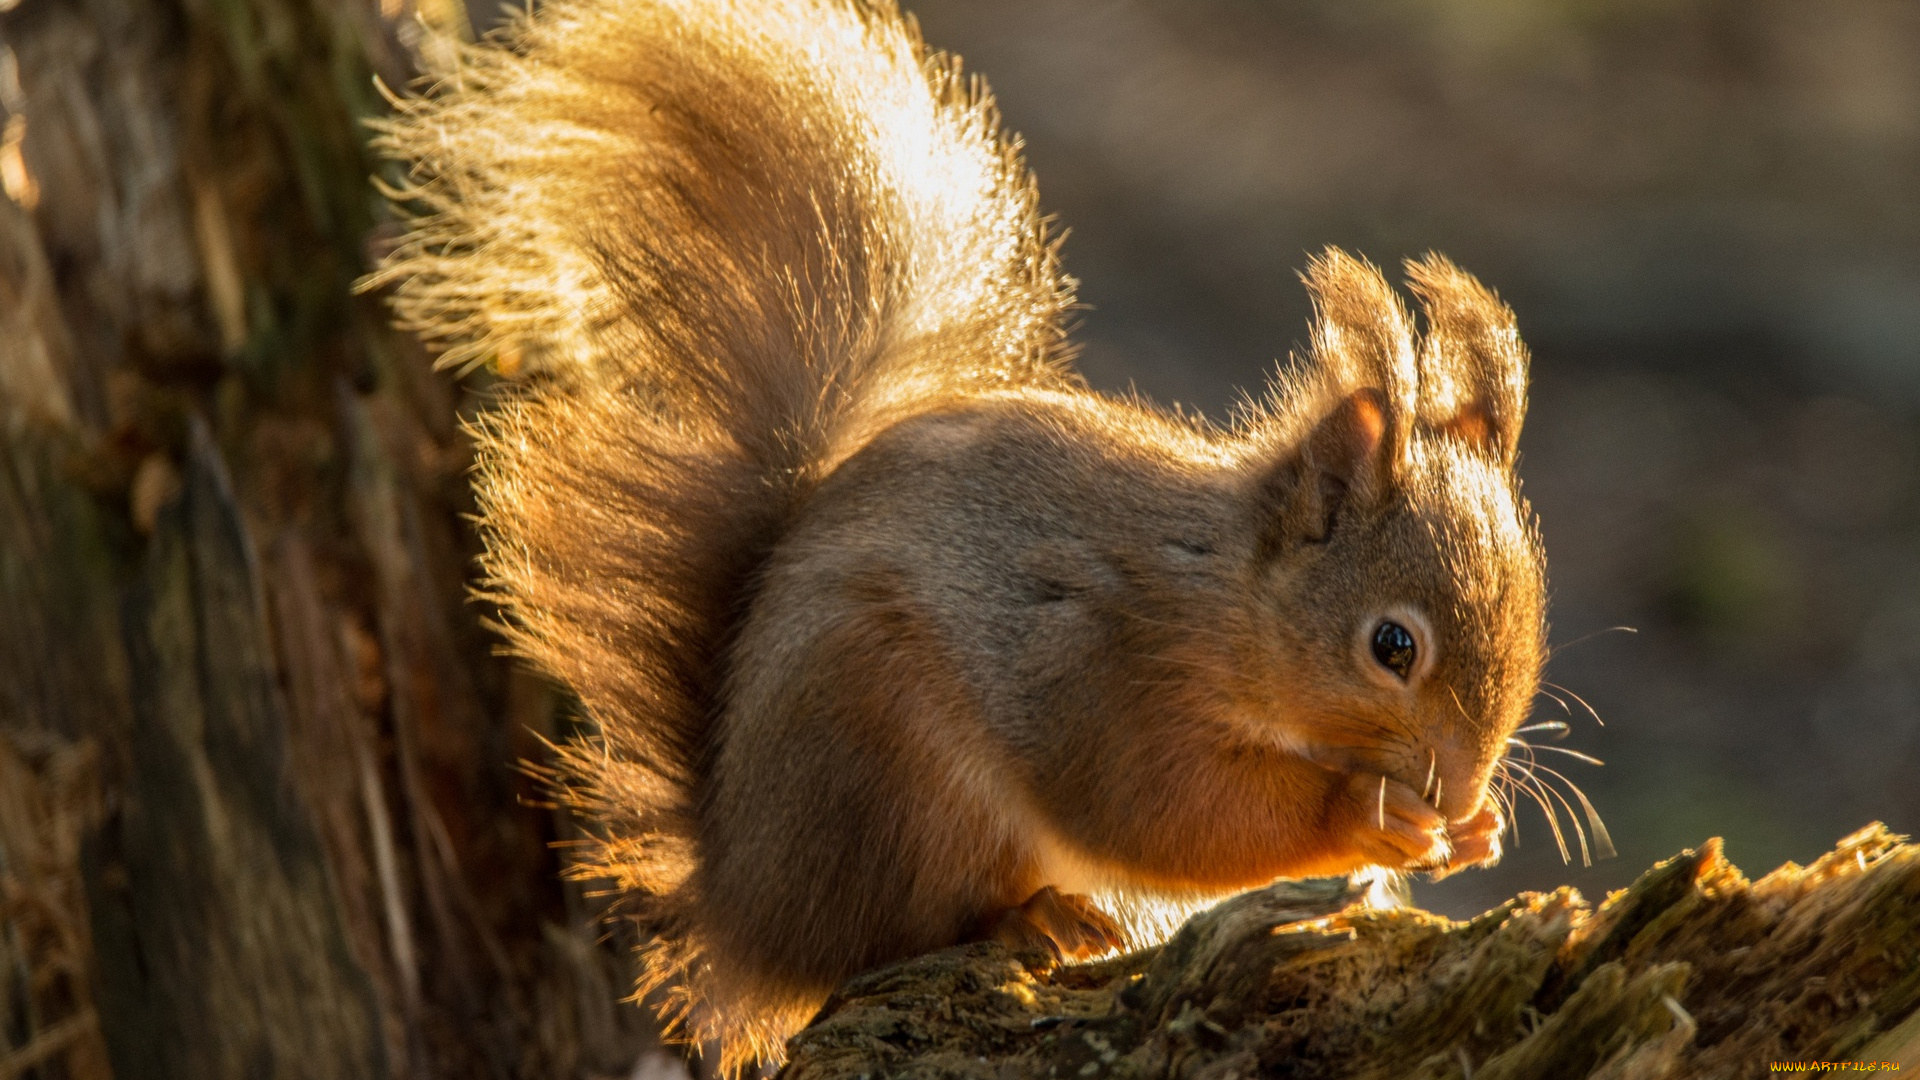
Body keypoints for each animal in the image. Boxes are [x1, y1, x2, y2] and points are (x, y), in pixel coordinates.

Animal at [370, 0, 1543, 1060]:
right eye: (1391, 647)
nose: (1463, 784)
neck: (1221, 592)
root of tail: (740, 899)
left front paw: (1475, 830)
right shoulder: (1095, 664)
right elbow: (1161, 810)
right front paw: (1369, 814)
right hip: (889, 761)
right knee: (888, 936)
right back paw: (1029, 916)